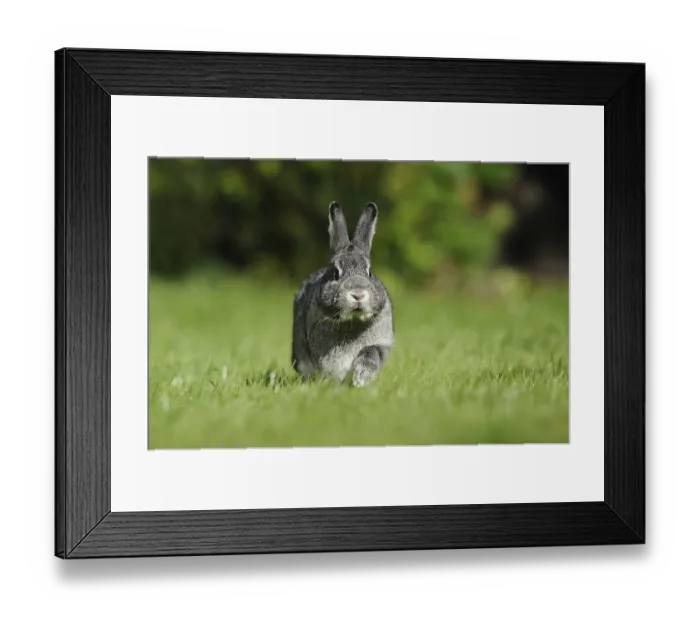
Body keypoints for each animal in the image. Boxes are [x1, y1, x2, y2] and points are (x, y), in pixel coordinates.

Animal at [292, 201, 394, 387]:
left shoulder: (380, 344)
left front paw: (360, 380)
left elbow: (370, 354)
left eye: (369, 272)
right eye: (335, 273)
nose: (358, 294)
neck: (352, 321)